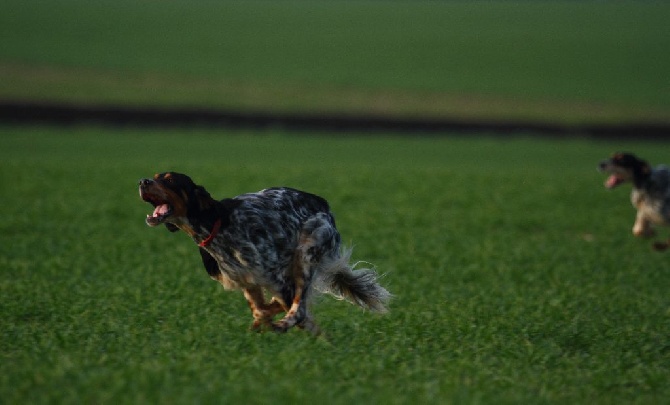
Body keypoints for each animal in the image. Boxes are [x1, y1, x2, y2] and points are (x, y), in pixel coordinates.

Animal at [139, 172, 392, 332]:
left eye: (170, 179)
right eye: (156, 176)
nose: (143, 181)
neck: (214, 225)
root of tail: (324, 205)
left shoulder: (276, 279)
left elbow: (293, 310)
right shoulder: (248, 283)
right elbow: (261, 310)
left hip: (309, 248)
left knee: (298, 309)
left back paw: (286, 324)